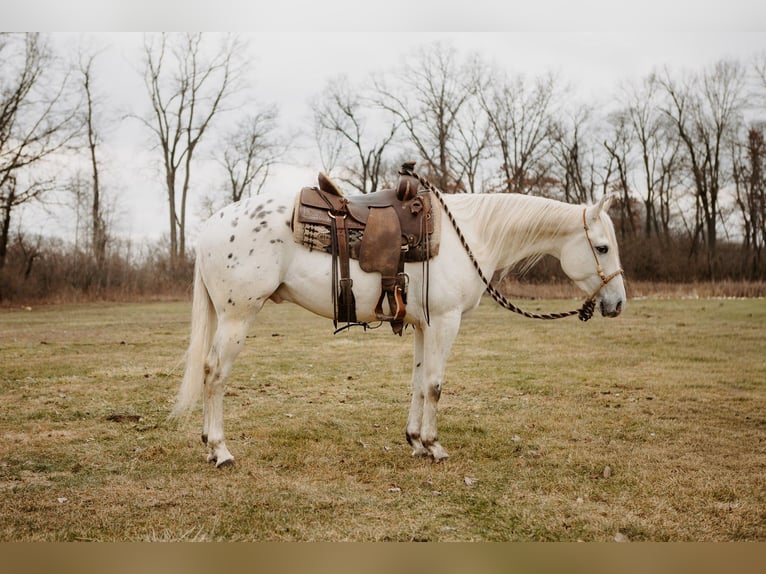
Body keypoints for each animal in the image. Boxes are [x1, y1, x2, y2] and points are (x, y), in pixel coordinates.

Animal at [172, 180, 626, 467]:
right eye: (602, 247)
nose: (618, 303)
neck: (469, 237)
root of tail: (210, 226)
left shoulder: (424, 326)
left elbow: (418, 382)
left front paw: (415, 442)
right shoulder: (445, 322)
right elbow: (436, 386)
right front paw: (434, 445)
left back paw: (210, 447)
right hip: (237, 318)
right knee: (215, 374)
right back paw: (221, 451)